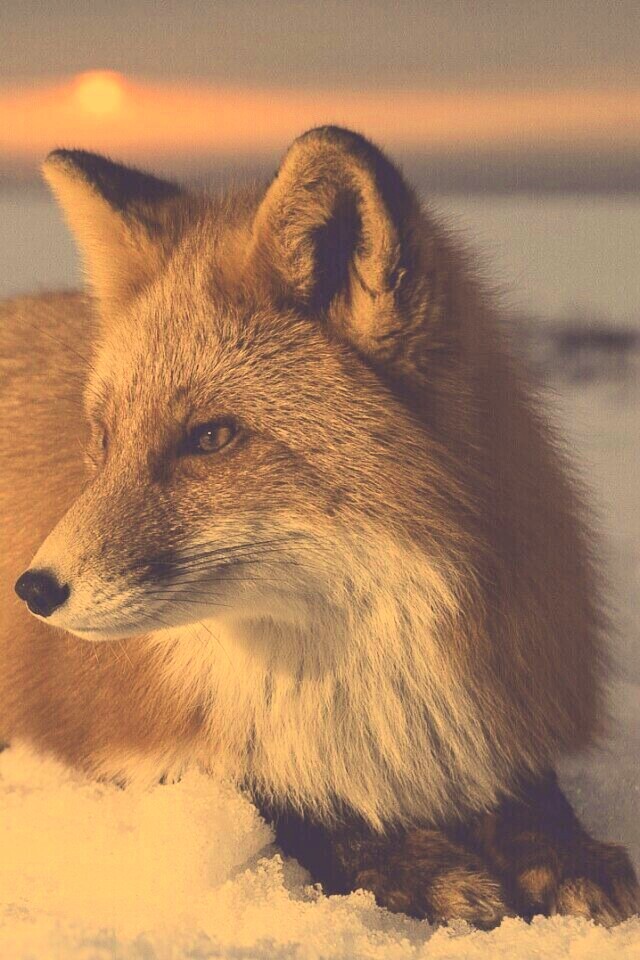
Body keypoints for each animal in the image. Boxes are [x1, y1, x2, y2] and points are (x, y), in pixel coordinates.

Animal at [1, 126, 638, 928]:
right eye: (105, 440)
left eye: (211, 437)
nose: (33, 589)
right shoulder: (116, 743)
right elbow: (272, 799)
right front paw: (412, 863)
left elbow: (530, 792)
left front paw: (565, 853)